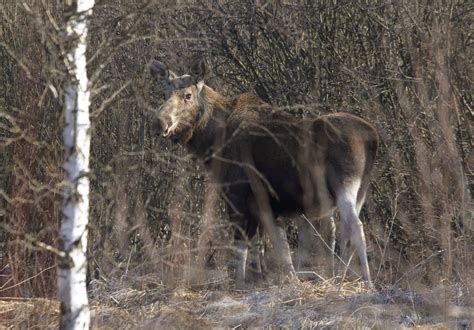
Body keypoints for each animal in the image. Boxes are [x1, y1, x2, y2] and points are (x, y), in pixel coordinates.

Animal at [148, 60, 378, 286]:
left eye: (187, 95)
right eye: (164, 92)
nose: (159, 122)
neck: (213, 142)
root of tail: (372, 138)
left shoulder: (236, 194)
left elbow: (242, 245)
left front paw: (240, 283)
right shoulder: (264, 204)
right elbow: (270, 245)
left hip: (345, 185)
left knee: (355, 227)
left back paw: (367, 281)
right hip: (361, 191)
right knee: (345, 231)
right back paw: (342, 276)